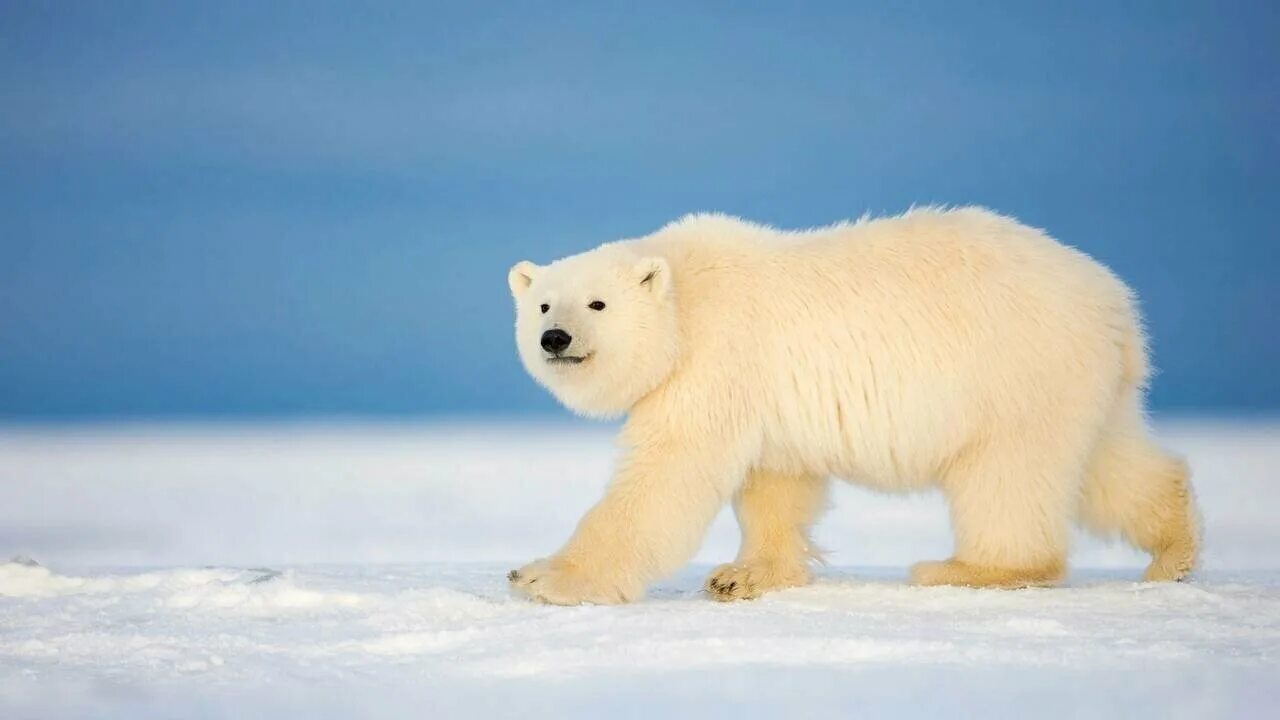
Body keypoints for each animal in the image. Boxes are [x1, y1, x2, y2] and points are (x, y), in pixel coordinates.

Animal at [501, 204, 1198, 602]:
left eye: (597, 304)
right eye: (543, 303)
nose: (554, 338)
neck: (685, 299)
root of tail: (1117, 308)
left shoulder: (716, 357)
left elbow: (666, 474)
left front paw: (543, 577)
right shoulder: (766, 395)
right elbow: (775, 483)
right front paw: (745, 575)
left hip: (1014, 372)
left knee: (1008, 475)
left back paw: (963, 568)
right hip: (1080, 384)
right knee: (1110, 463)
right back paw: (1173, 553)